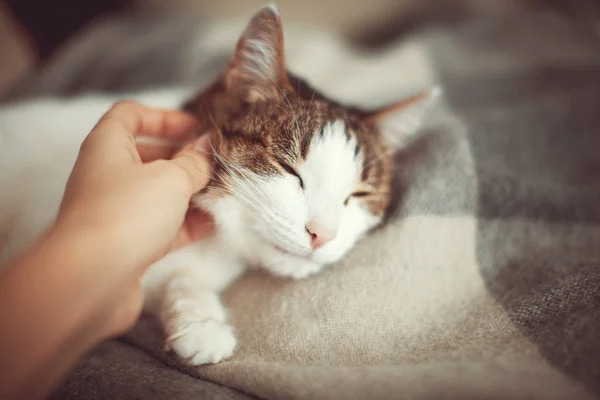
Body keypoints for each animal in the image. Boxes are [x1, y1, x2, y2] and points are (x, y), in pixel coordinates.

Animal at [0, 3, 440, 366]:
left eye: (358, 196)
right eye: (288, 169)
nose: (323, 234)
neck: (218, 239)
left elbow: (181, 280)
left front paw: (199, 321)